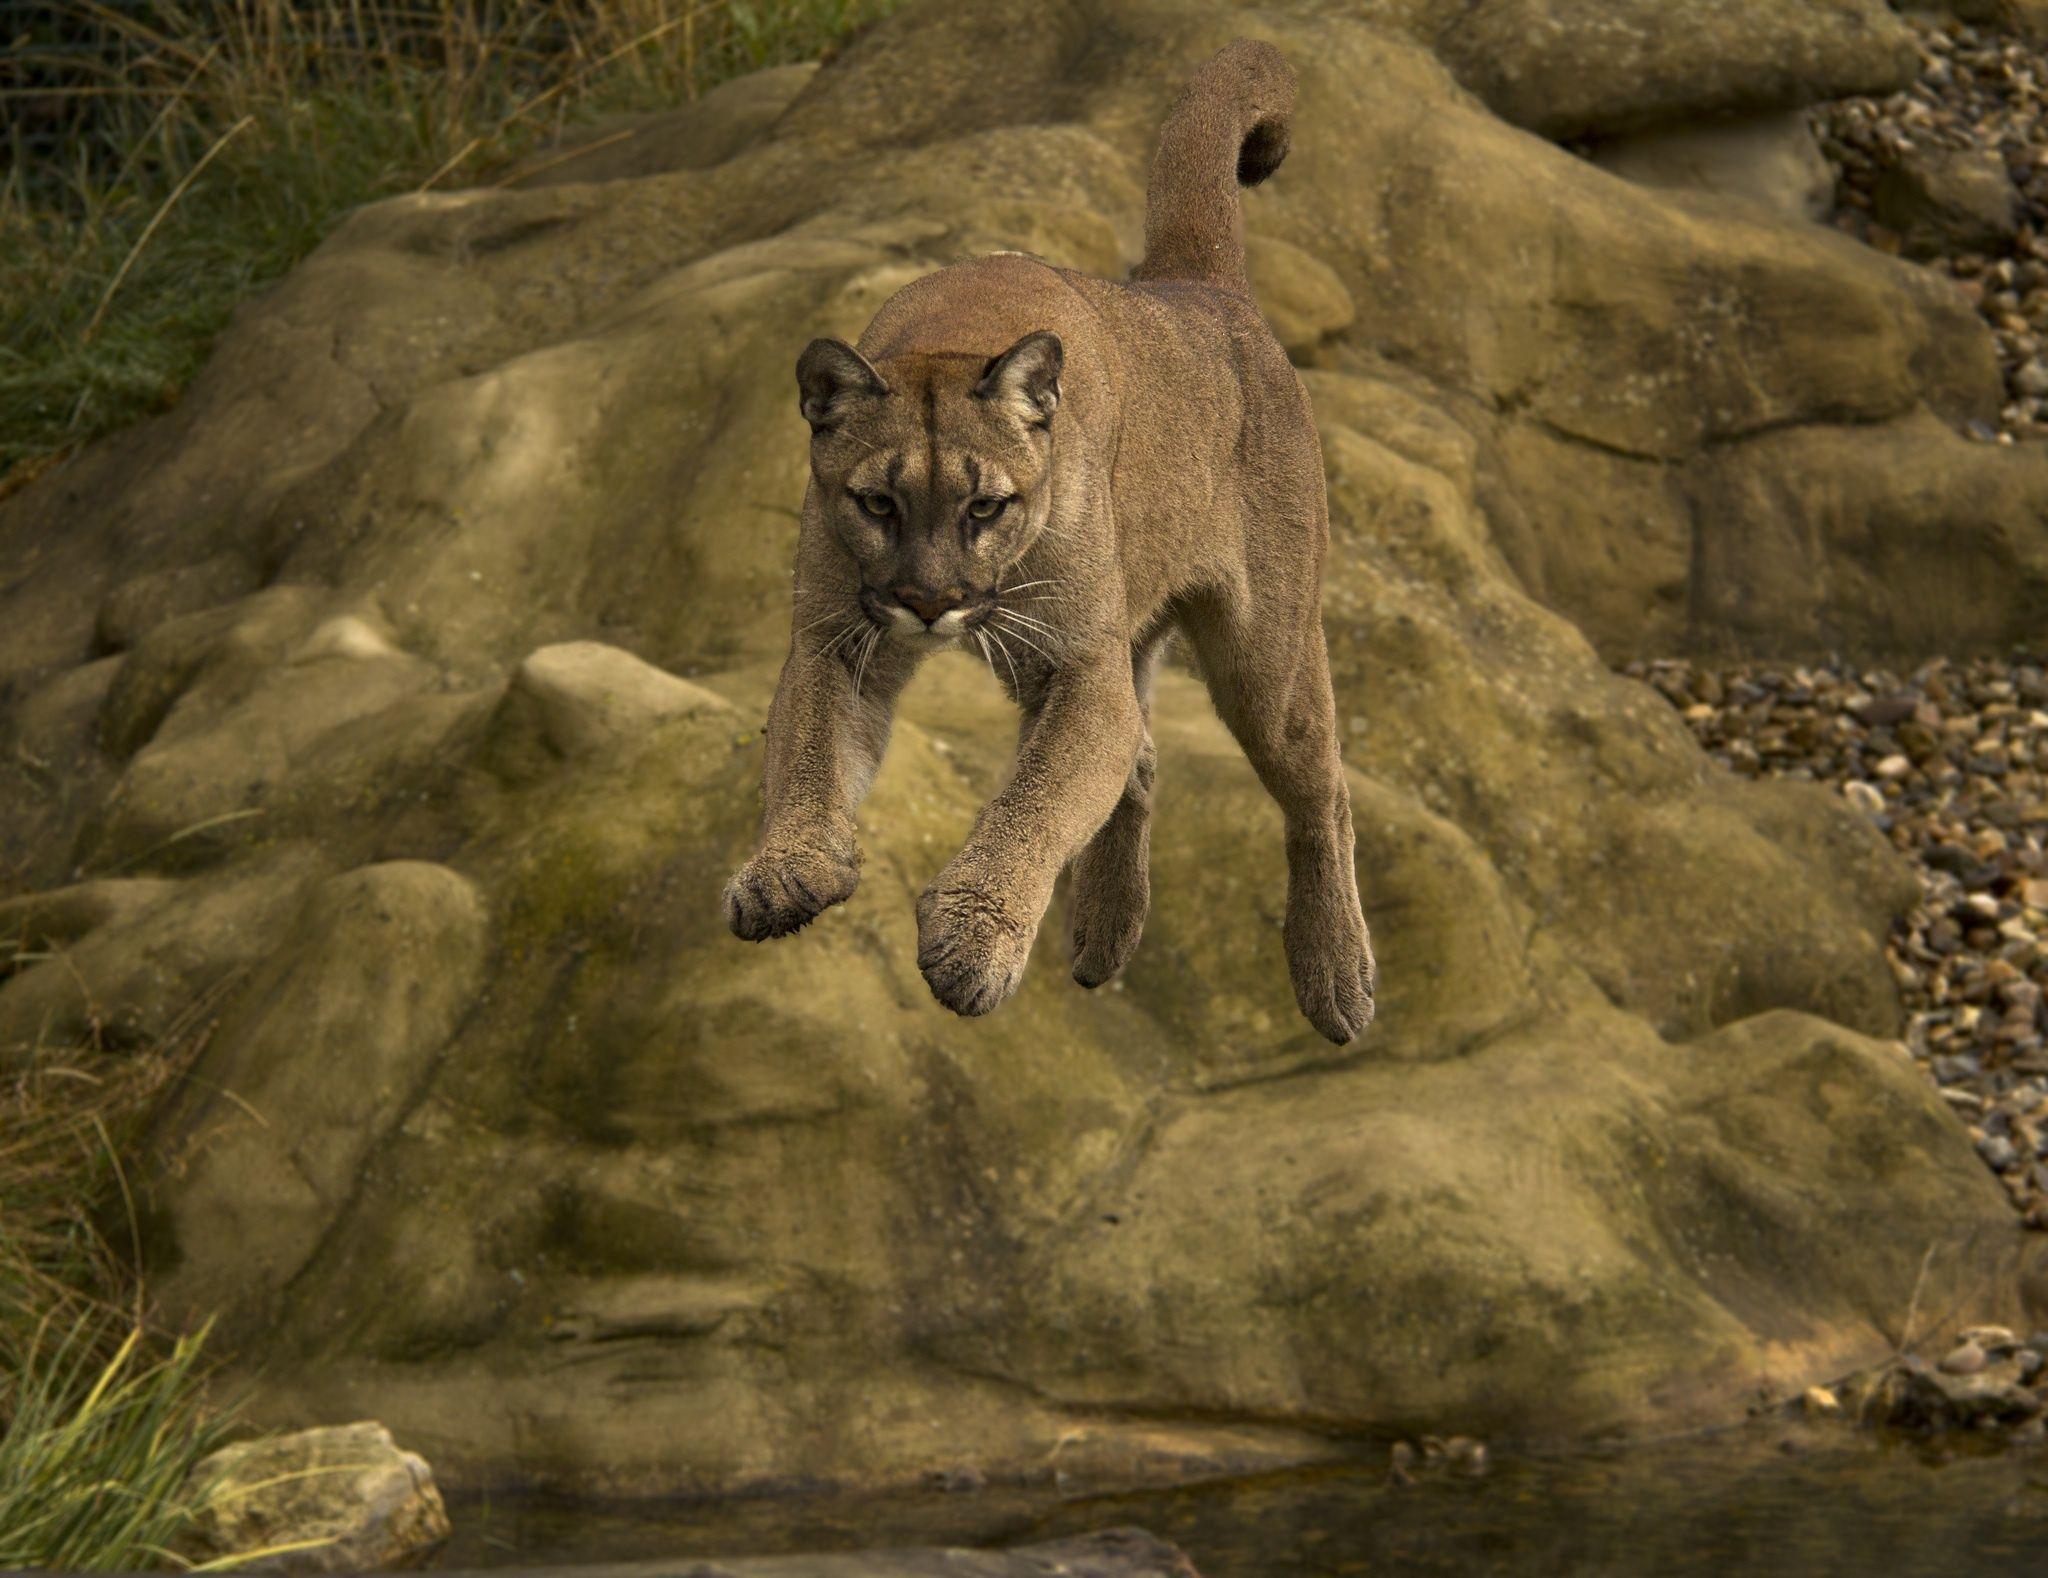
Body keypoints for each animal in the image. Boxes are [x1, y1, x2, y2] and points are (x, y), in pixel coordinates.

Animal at [721, 37, 1376, 1044]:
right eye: (877, 504)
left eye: (986, 507)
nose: (929, 600)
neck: (958, 330)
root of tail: (1197, 284)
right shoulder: (839, 636)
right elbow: (807, 752)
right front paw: (787, 868)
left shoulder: (1078, 663)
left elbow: (1036, 802)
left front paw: (972, 938)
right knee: (1141, 756)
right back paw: (1106, 927)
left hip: (1266, 653)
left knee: (1320, 789)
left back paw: (1335, 971)